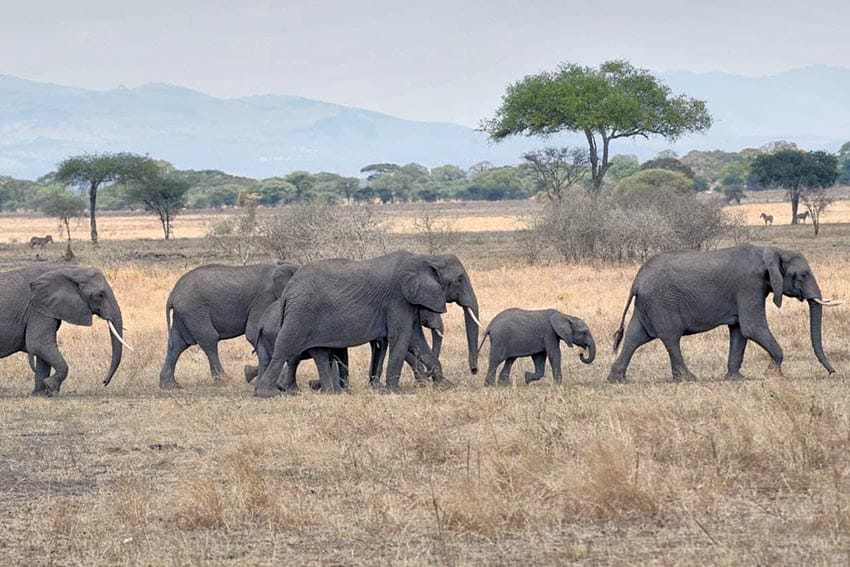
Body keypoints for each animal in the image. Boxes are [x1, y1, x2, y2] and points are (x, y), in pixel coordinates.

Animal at [0, 266, 127, 394]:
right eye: (100, 295)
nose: (104, 382)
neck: (69, 271)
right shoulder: (38, 309)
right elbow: (39, 343)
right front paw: (51, 387)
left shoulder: (47, 308)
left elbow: (42, 349)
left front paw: (40, 393)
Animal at [160, 262, 294, 390]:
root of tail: (172, 294)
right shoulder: (264, 298)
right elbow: (253, 333)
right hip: (194, 310)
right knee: (209, 338)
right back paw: (223, 379)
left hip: (184, 314)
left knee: (177, 344)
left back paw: (170, 385)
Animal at [252, 251, 480, 398]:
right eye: (459, 279)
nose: (474, 371)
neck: (427, 258)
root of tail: (288, 291)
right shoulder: (397, 298)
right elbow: (401, 337)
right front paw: (394, 392)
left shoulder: (408, 301)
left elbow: (416, 340)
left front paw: (446, 385)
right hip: (301, 314)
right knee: (285, 348)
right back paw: (268, 393)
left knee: (319, 352)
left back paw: (331, 393)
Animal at [608, 245, 840, 384]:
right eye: (802, 275)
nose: (832, 372)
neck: (771, 250)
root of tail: (637, 280)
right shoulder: (749, 286)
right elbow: (752, 327)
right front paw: (771, 375)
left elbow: (739, 331)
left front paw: (735, 378)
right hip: (662, 302)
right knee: (671, 338)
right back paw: (689, 379)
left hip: (647, 304)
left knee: (634, 337)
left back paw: (618, 379)